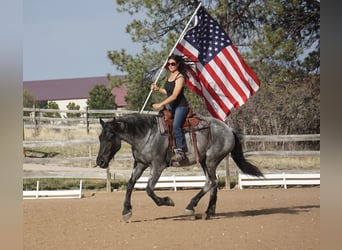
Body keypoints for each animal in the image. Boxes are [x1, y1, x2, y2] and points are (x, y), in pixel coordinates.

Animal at [95, 112, 264, 222]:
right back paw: (208, 212)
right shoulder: (141, 164)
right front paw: (126, 211)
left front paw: (167, 201)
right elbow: (130, 184)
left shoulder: (158, 166)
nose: (100, 162)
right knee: (212, 182)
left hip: (211, 160)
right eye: (100, 137)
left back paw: (191, 206)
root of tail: (229, 130)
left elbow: (149, 189)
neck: (147, 134)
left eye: (110, 137)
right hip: (204, 161)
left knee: (211, 182)